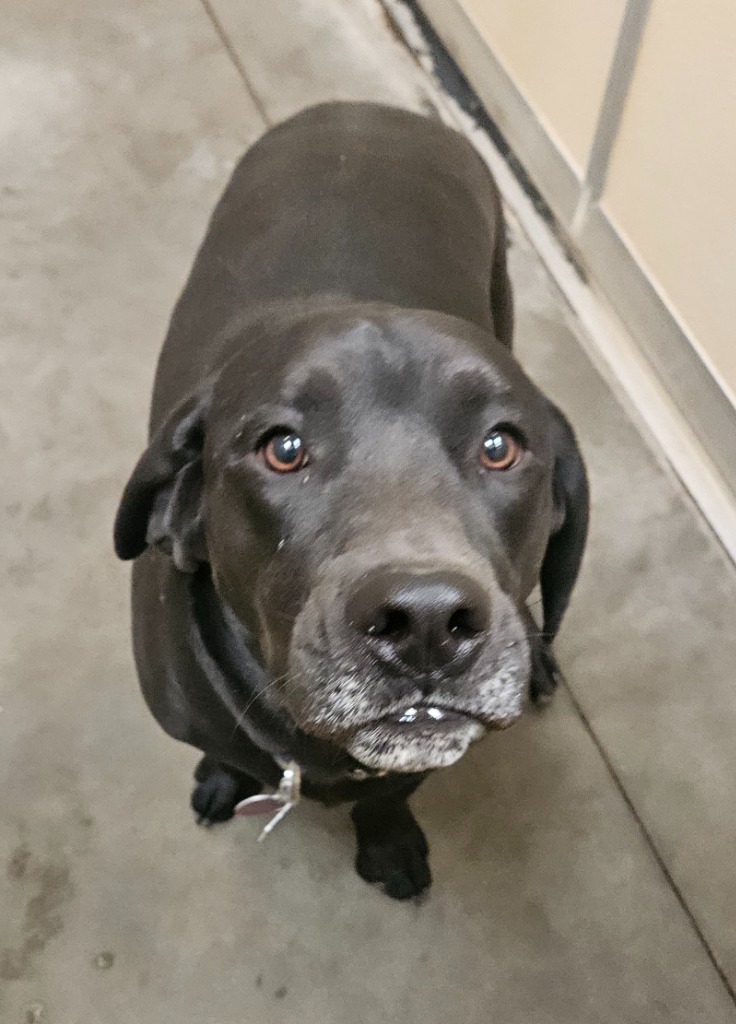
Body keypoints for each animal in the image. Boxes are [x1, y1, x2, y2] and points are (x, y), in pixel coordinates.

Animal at [113, 103, 585, 901]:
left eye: (500, 445)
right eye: (282, 448)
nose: (426, 622)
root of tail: (371, 108)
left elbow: (389, 791)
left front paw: (388, 839)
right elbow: (231, 755)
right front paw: (225, 777)